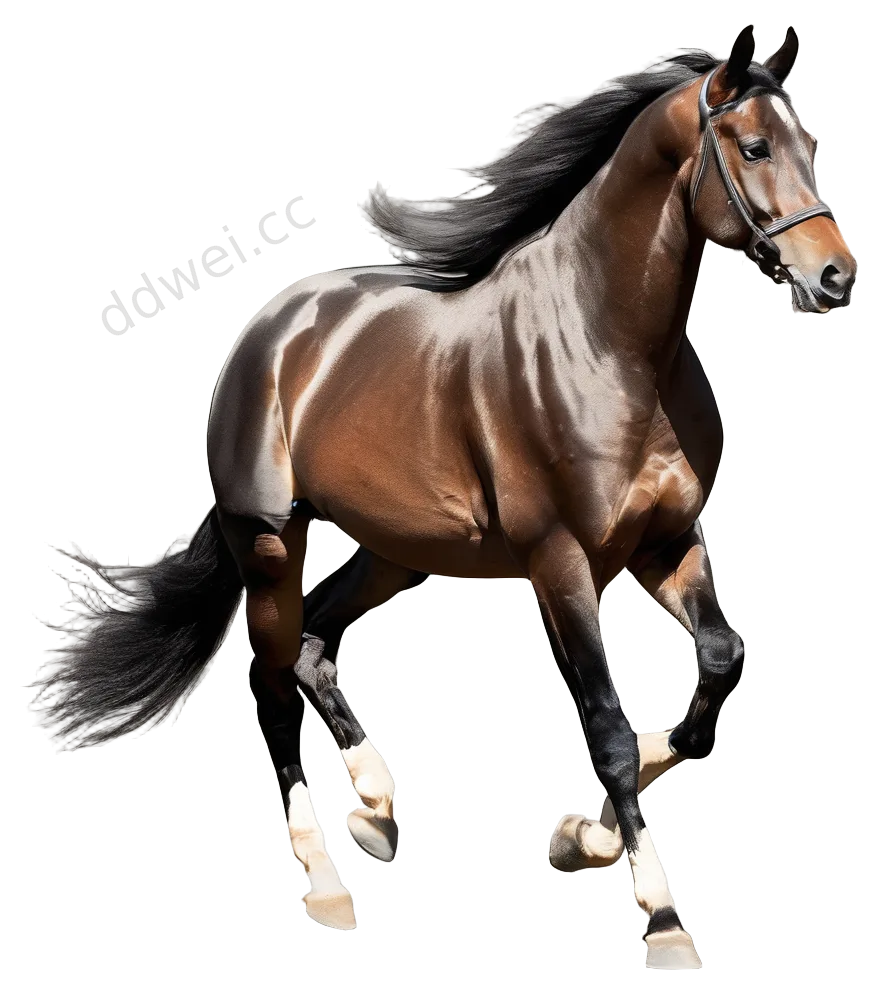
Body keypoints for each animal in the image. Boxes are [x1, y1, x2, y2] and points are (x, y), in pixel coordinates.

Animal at [35, 24, 855, 971]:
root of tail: (271, 332)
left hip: (395, 552)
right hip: (271, 543)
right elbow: (608, 727)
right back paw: (327, 886)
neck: (609, 344)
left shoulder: (665, 542)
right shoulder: (560, 565)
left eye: (810, 143)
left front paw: (584, 837)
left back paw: (378, 812)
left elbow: (718, 672)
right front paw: (660, 918)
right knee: (272, 685)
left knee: (315, 642)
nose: (837, 277)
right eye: (753, 146)